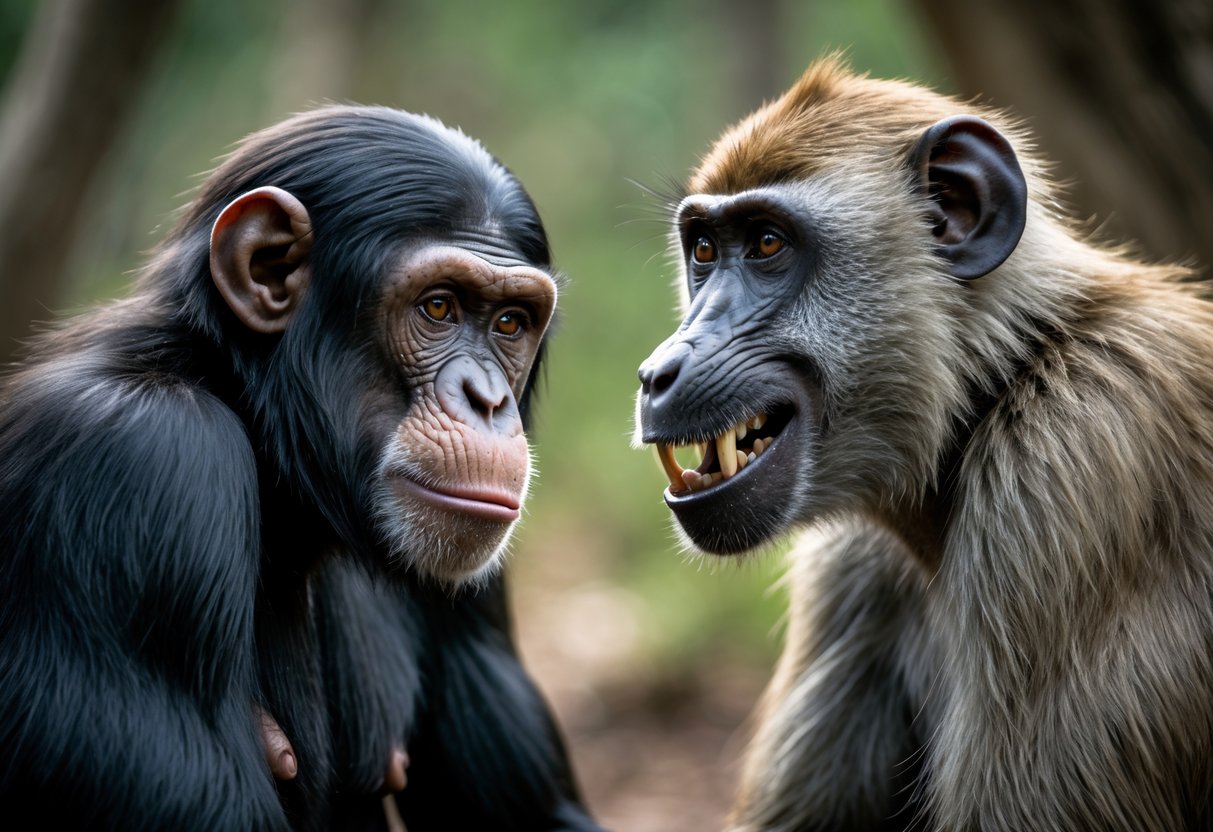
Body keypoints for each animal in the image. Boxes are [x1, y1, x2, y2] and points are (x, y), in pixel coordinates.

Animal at [634, 55, 1213, 831]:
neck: (997, 384)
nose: (659, 372)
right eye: (703, 249)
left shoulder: (1071, 467)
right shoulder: (853, 561)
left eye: (766, 245)